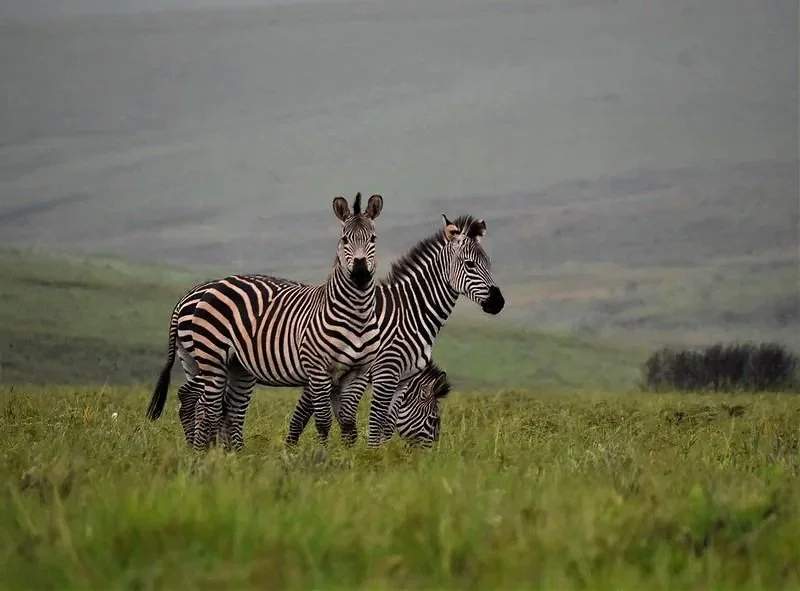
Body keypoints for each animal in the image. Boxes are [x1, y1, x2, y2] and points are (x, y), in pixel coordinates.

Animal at [145, 192, 384, 451]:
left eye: (373, 238)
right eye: (344, 239)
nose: (360, 274)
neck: (356, 315)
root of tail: (193, 295)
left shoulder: (358, 372)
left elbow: (348, 422)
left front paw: (351, 455)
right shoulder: (318, 369)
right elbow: (323, 420)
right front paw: (323, 454)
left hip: (215, 362)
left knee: (215, 405)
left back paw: (222, 451)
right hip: (211, 358)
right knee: (203, 404)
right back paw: (200, 451)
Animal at [290, 213, 504, 448]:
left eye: (489, 264)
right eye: (470, 264)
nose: (498, 302)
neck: (408, 312)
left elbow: (386, 423)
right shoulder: (377, 371)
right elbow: (307, 416)